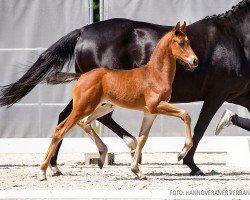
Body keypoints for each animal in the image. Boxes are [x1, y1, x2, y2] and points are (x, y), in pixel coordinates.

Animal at [40, 22, 198, 180]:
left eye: (189, 41)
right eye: (181, 43)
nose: (195, 60)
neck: (156, 74)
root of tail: (81, 76)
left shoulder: (150, 113)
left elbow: (142, 139)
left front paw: (137, 171)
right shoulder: (156, 106)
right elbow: (185, 114)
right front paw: (181, 154)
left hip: (104, 107)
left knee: (84, 122)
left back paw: (102, 156)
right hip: (84, 107)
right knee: (61, 129)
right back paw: (43, 171)